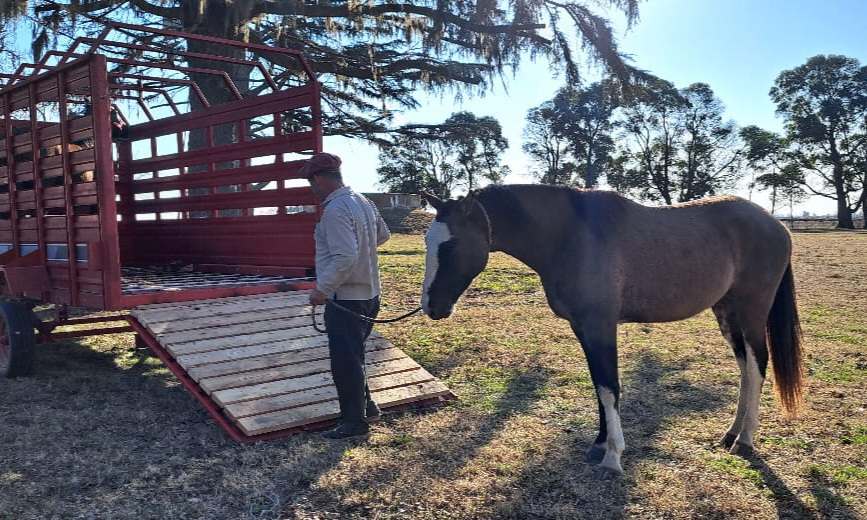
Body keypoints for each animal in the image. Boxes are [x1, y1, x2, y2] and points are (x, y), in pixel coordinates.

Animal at [418, 186, 804, 476]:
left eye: (451, 245)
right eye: (427, 242)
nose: (431, 307)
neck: (571, 236)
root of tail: (776, 225)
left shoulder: (600, 326)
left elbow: (609, 388)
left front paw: (613, 456)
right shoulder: (583, 328)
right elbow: (598, 385)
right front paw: (599, 444)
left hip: (752, 311)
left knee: (758, 365)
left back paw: (745, 440)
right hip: (727, 312)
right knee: (745, 369)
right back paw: (732, 432)